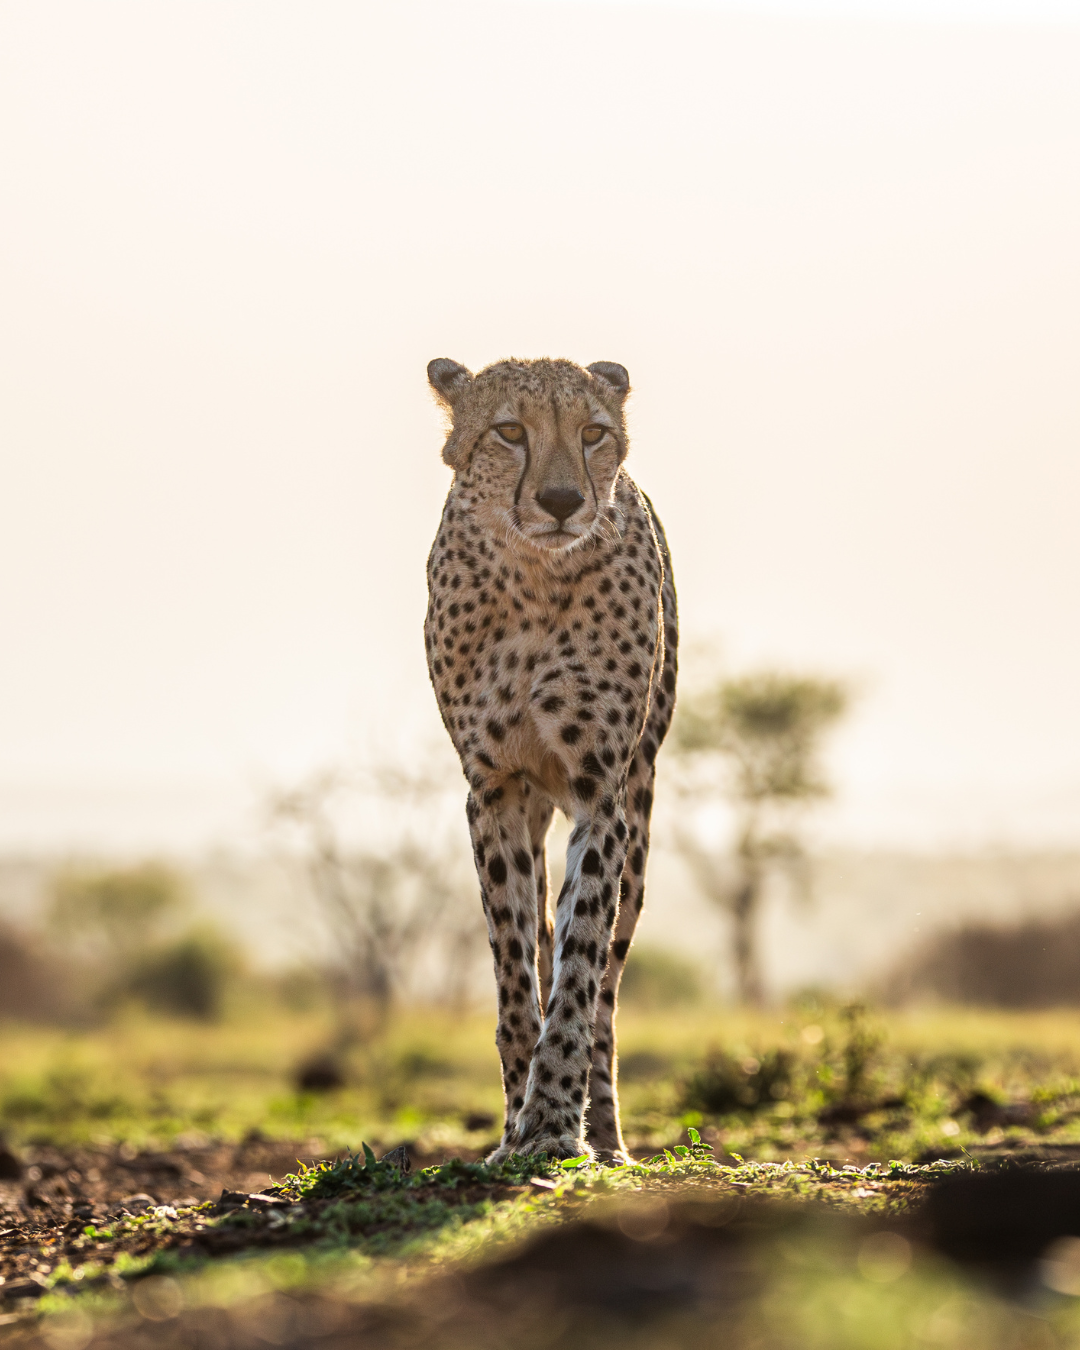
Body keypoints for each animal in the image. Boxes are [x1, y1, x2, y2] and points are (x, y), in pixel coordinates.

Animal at [424, 356, 678, 1164]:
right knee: (540, 936)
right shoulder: (494, 787)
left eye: (593, 433)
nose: (562, 500)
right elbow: (515, 968)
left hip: (639, 823)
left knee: (606, 984)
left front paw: (557, 1122)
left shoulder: (602, 791)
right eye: (509, 431)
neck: (537, 575)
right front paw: (515, 1126)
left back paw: (608, 1137)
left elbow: (582, 959)